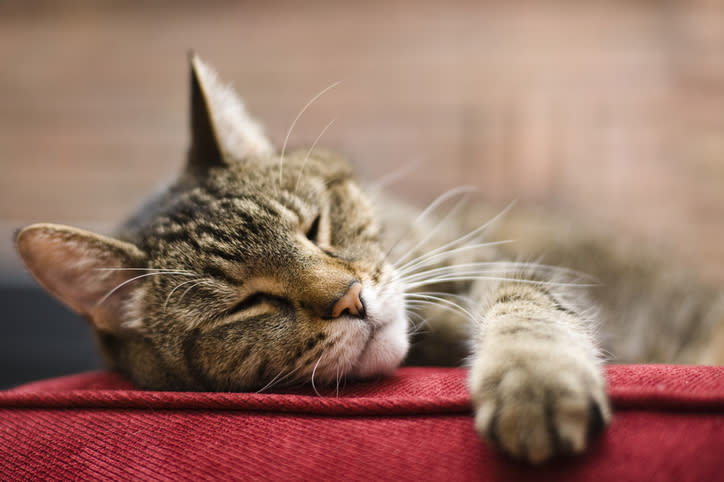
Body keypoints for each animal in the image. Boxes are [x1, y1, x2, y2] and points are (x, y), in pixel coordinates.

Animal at [12, 54, 724, 466]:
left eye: (315, 226)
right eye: (249, 303)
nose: (350, 297)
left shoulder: (501, 263)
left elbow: (526, 308)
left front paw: (535, 381)